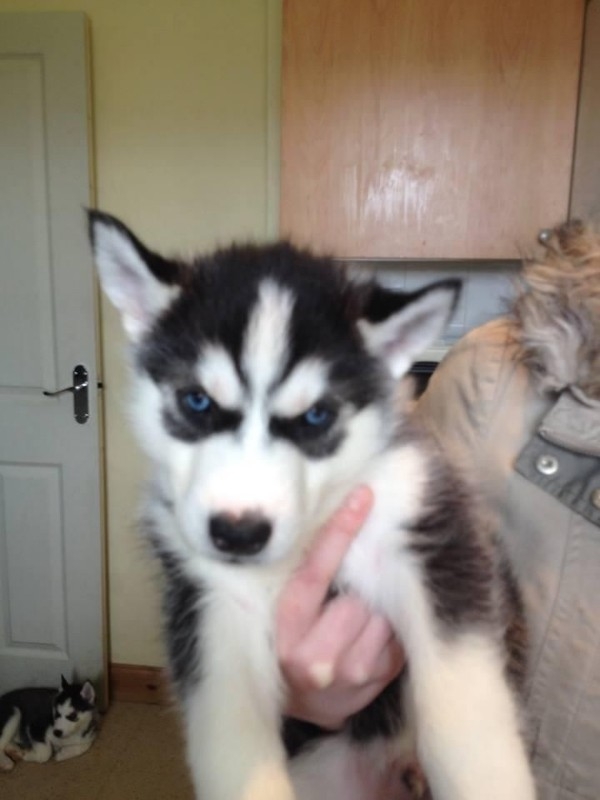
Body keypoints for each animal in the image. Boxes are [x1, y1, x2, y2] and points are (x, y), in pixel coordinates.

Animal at [88, 212, 536, 800]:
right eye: (198, 401)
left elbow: (464, 710)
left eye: (316, 416)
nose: (238, 533)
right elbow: (231, 743)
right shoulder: (210, 606)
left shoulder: (434, 538)